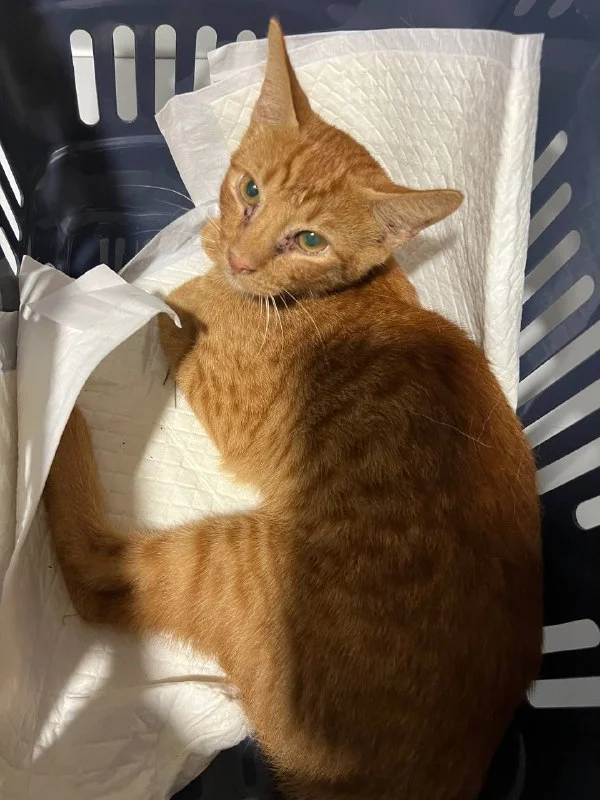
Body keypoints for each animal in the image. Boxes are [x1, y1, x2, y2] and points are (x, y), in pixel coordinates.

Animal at [44, 19, 542, 800]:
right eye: (249, 189)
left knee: (96, 573)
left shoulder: (227, 390)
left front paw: (194, 284)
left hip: (231, 561)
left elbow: (180, 311)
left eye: (309, 239)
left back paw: (57, 425)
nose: (244, 259)